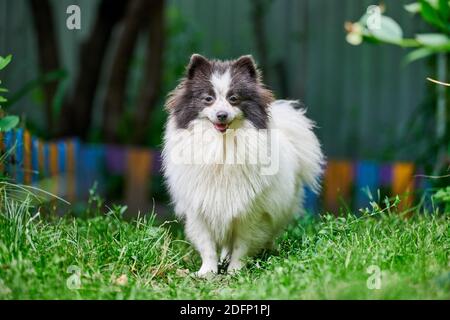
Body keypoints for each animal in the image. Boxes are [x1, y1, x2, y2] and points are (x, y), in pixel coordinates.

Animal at [162, 53, 324, 276]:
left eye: (234, 99)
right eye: (208, 99)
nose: (221, 114)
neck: (222, 146)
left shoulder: (250, 212)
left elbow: (242, 244)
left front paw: (235, 271)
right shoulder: (200, 209)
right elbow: (207, 245)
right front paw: (207, 272)